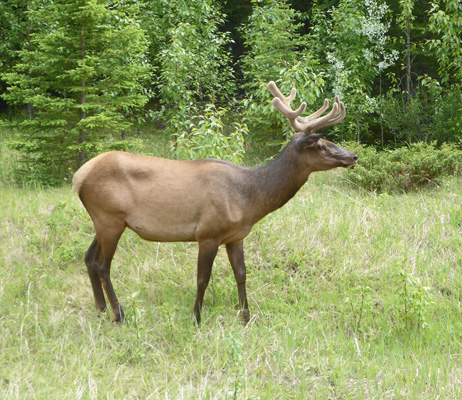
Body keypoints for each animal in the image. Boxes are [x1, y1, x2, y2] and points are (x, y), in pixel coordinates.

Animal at [72, 81, 358, 324]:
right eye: (320, 145)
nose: (353, 155)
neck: (249, 200)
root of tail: (78, 176)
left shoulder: (236, 235)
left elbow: (241, 273)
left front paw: (246, 316)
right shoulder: (207, 232)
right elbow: (202, 278)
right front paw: (196, 317)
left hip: (105, 220)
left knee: (89, 258)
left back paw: (101, 310)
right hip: (110, 217)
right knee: (103, 265)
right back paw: (119, 314)